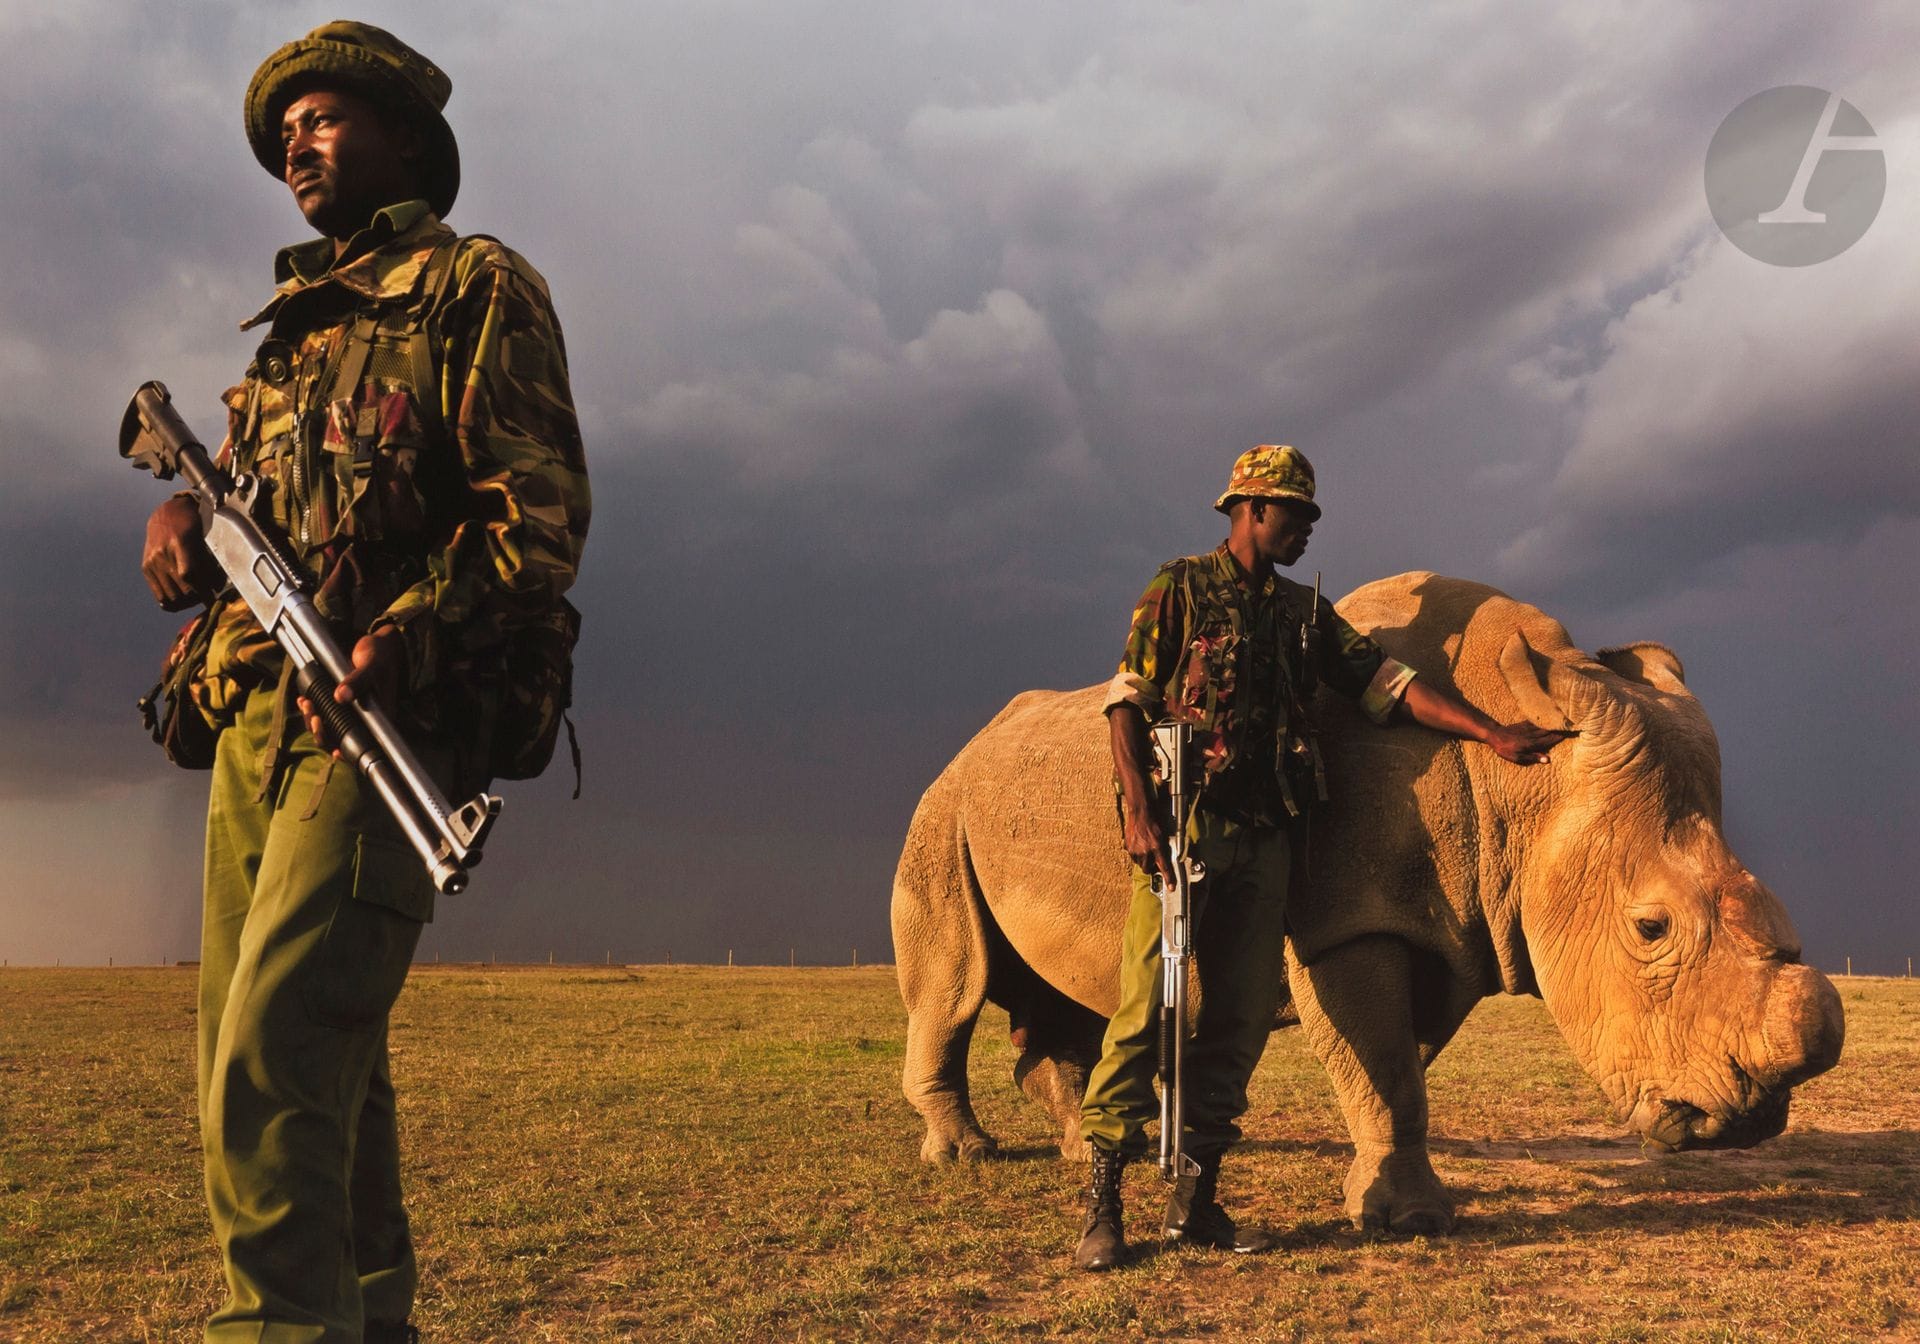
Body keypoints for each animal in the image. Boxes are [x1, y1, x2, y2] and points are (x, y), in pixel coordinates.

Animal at [892, 572, 1844, 1233]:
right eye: (1650, 929)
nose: (1750, 1120)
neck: (1521, 791)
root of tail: (968, 746)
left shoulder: (1450, 924)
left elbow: (1398, 1064)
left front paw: (1380, 1198)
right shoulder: (1346, 923)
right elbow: (1383, 1061)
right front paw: (1413, 1222)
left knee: (1071, 999)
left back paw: (1073, 1147)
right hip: (940, 810)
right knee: (955, 982)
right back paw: (966, 1157)